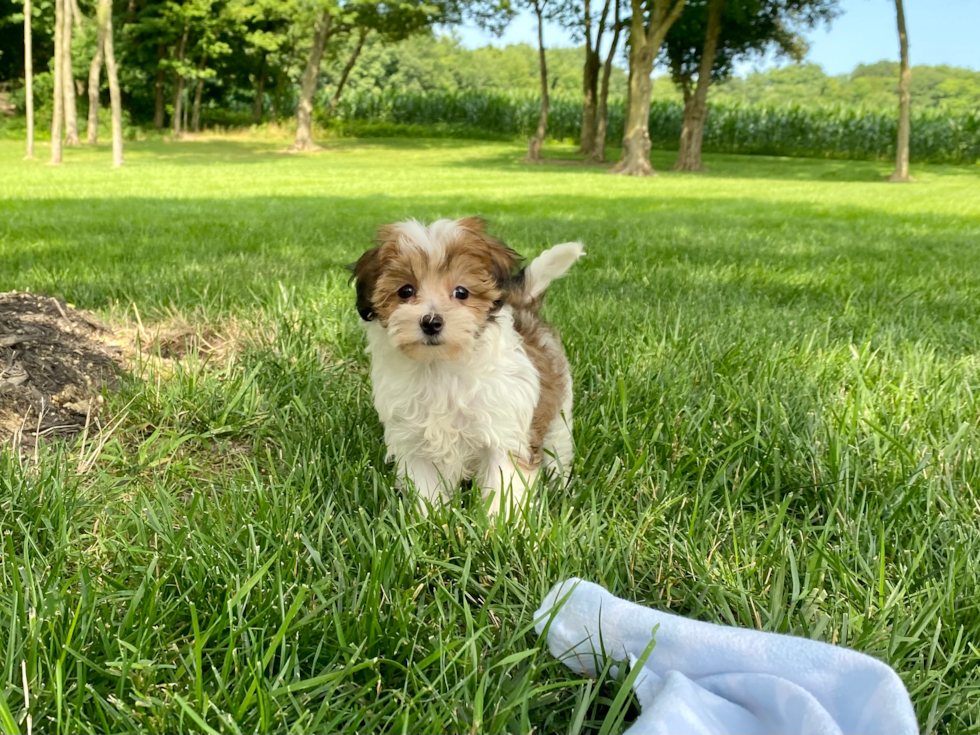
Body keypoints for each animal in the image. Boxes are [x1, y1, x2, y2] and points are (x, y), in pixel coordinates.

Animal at [350, 217, 580, 516]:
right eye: (406, 291)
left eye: (461, 292)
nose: (431, 322)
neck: (440, 367)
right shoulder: (414, 444)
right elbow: (426, 489)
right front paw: (431, 520)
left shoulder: (504, 436)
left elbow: (504, 486)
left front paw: (501, 524)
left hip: (558, 411)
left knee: (558, 446)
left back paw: (561, 485)